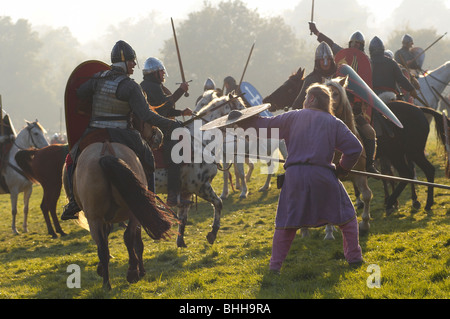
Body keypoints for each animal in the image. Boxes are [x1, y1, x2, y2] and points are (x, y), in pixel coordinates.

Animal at [154, 94, 246, 249]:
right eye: (240, 107)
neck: (199, 140)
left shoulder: (185, 192)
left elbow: (183, 218)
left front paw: (181, 242)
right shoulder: (201, 186)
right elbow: (218, 203)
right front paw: (212, 233)